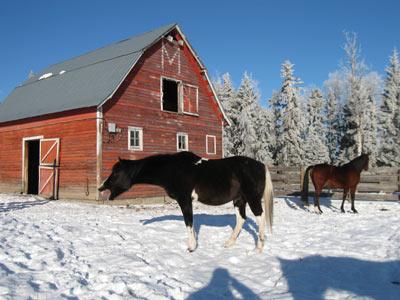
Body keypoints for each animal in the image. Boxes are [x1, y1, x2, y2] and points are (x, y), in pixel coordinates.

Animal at [98, 151, 274, 252]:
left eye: (116, 172)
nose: (101, 187)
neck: (174, 169)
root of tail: (261, 165)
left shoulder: (184, 200)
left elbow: (188, 222)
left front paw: (191, 247)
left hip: (252, 198)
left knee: (260, 217)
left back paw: (259, 247)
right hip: (239, 200)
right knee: (241, 219)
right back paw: (229, 243)